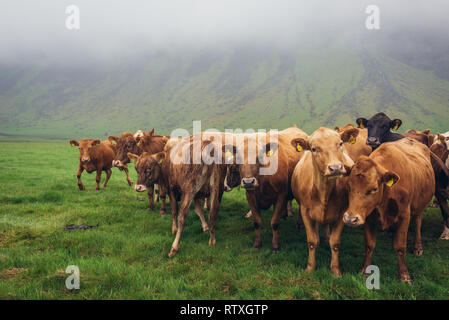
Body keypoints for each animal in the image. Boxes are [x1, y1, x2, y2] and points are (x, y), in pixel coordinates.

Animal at [290, 126, 356, 276]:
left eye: (340, 143)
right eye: (314, 148)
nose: (335, 168)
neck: (324, 192)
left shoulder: (342, 213)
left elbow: (335, 243)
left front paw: (336, 270)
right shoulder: (305, 211)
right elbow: (312, 241)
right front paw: (310, 267)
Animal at [344, 139, 434, 282]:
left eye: (374, 188)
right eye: (348, 186)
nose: (350, 219)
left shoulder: (404, 215)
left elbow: (400, 246)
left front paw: (404, 275)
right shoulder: (368, 217)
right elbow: (369, 245)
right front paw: (365, 270)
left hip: (419, 206)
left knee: (417, 223)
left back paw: (418, 247)